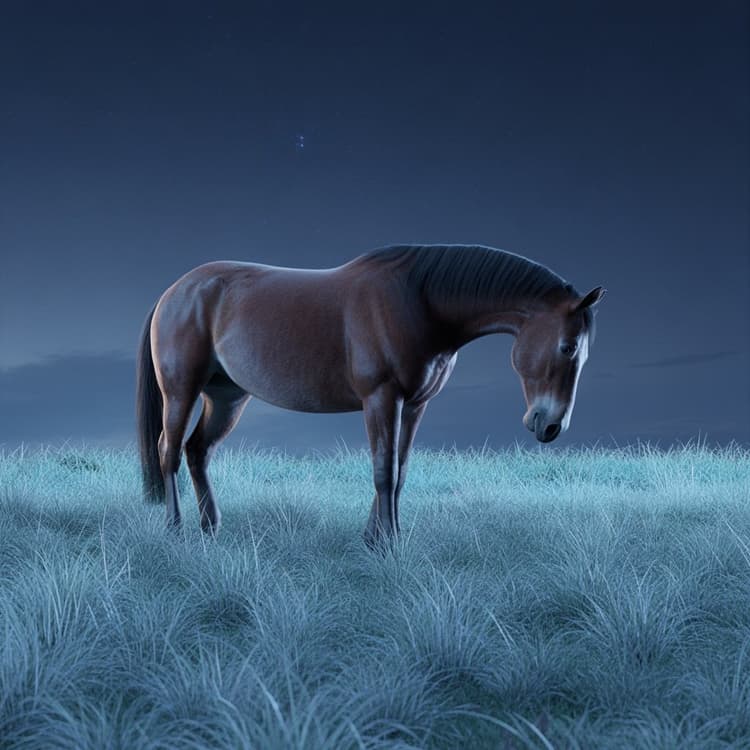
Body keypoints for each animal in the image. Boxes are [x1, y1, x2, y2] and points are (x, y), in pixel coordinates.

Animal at [136, 244, 605, 549]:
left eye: (583, 354)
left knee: (198, 451)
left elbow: (400, 470)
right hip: (181, 391)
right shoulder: (382, 398)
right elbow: (384, 471)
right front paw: (389, 543)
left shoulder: (414, 405)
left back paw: (210, 527)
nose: (550, 425)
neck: (420, 301)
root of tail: (172, 293)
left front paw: (375, 537)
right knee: (169, 451)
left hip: (227, 398)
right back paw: (174, 529)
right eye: (567, 347)